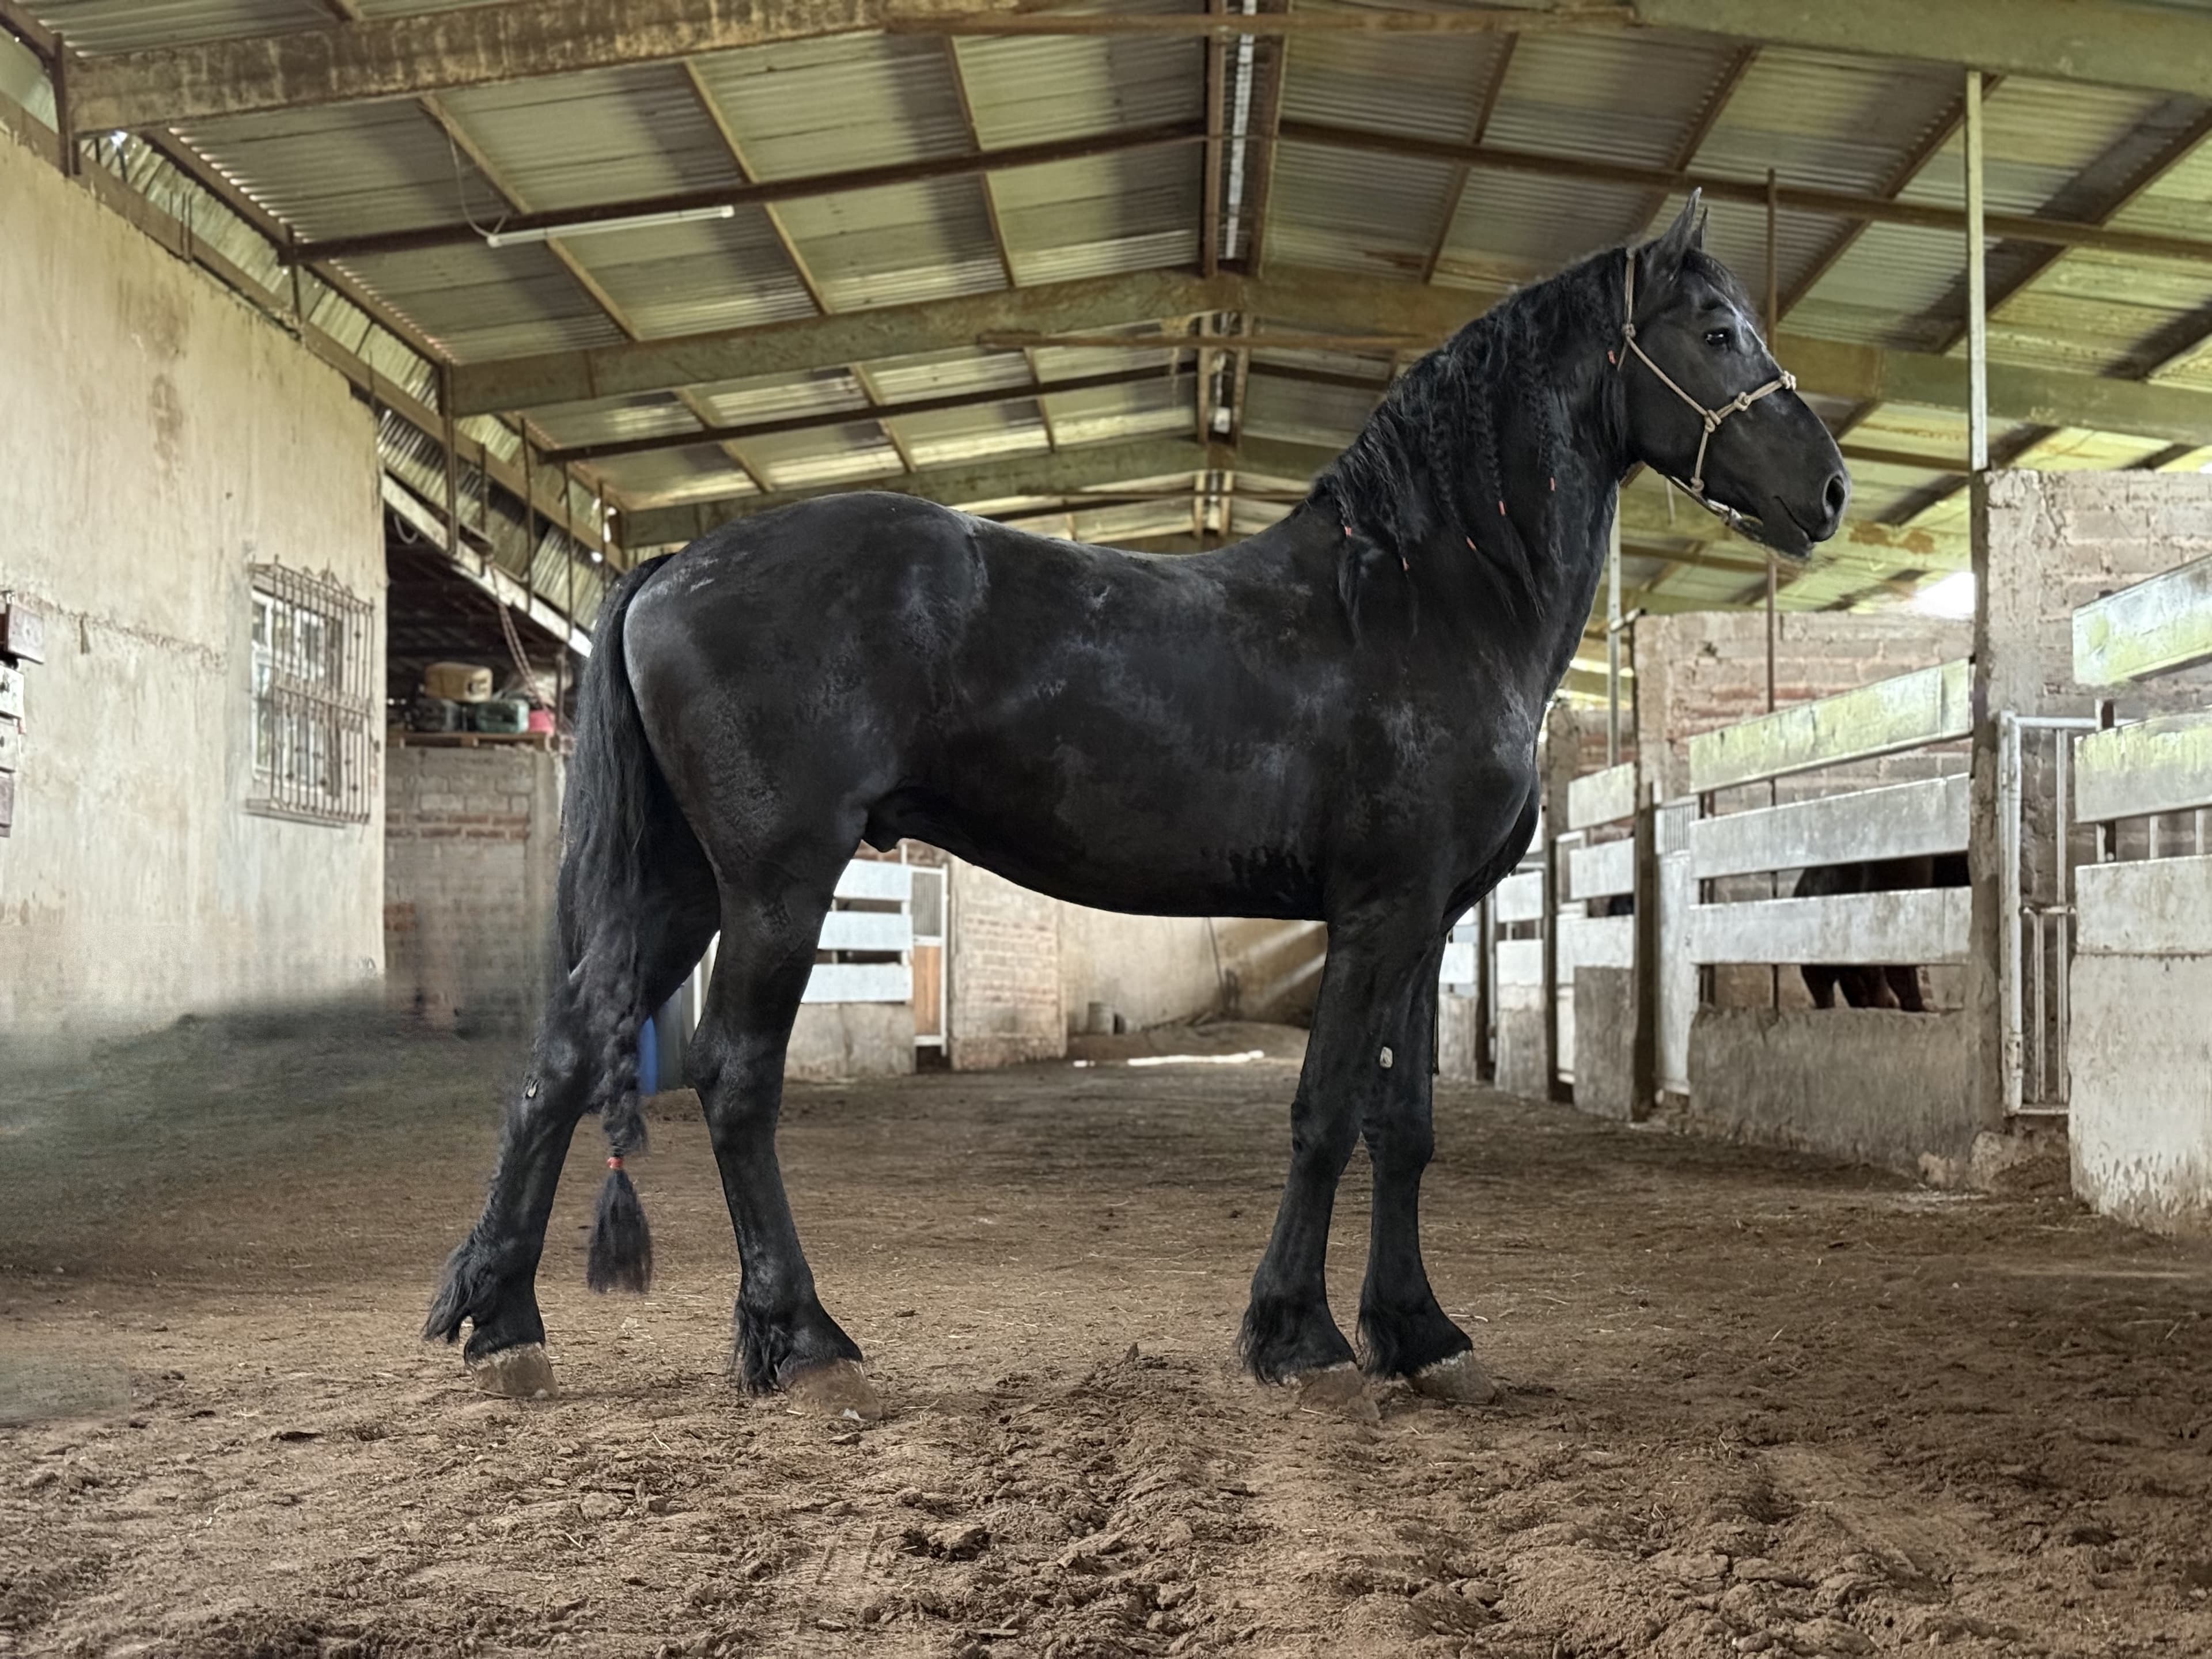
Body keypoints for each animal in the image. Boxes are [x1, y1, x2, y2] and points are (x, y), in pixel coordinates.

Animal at [426, 193, 1848, 1420]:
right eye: (1716, 333)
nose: (1828, 492)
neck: (1422, 603)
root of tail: (675, 566)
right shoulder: (1378, 912)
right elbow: (1327, 1113)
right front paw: (1299, 1338)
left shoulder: (1427, 923)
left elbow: (1404, 1126)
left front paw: (1419, 1334)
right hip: (776, 882)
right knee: (733, 1078)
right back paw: (807, 1341)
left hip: (681, 883)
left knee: (565, 1058)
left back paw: (503, 1328)